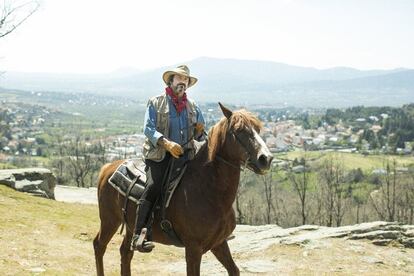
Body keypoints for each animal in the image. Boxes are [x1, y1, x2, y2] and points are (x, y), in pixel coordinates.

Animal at [94, 104, 274, 276]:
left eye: (258, 129)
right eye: (239, 130)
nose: (266, 158)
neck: (209, 192)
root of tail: (108, 167)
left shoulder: (219, 243)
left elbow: (234, 270)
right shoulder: (193, 248)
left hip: (130, 226)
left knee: (125, 253)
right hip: (110, 220)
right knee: (99, 246)